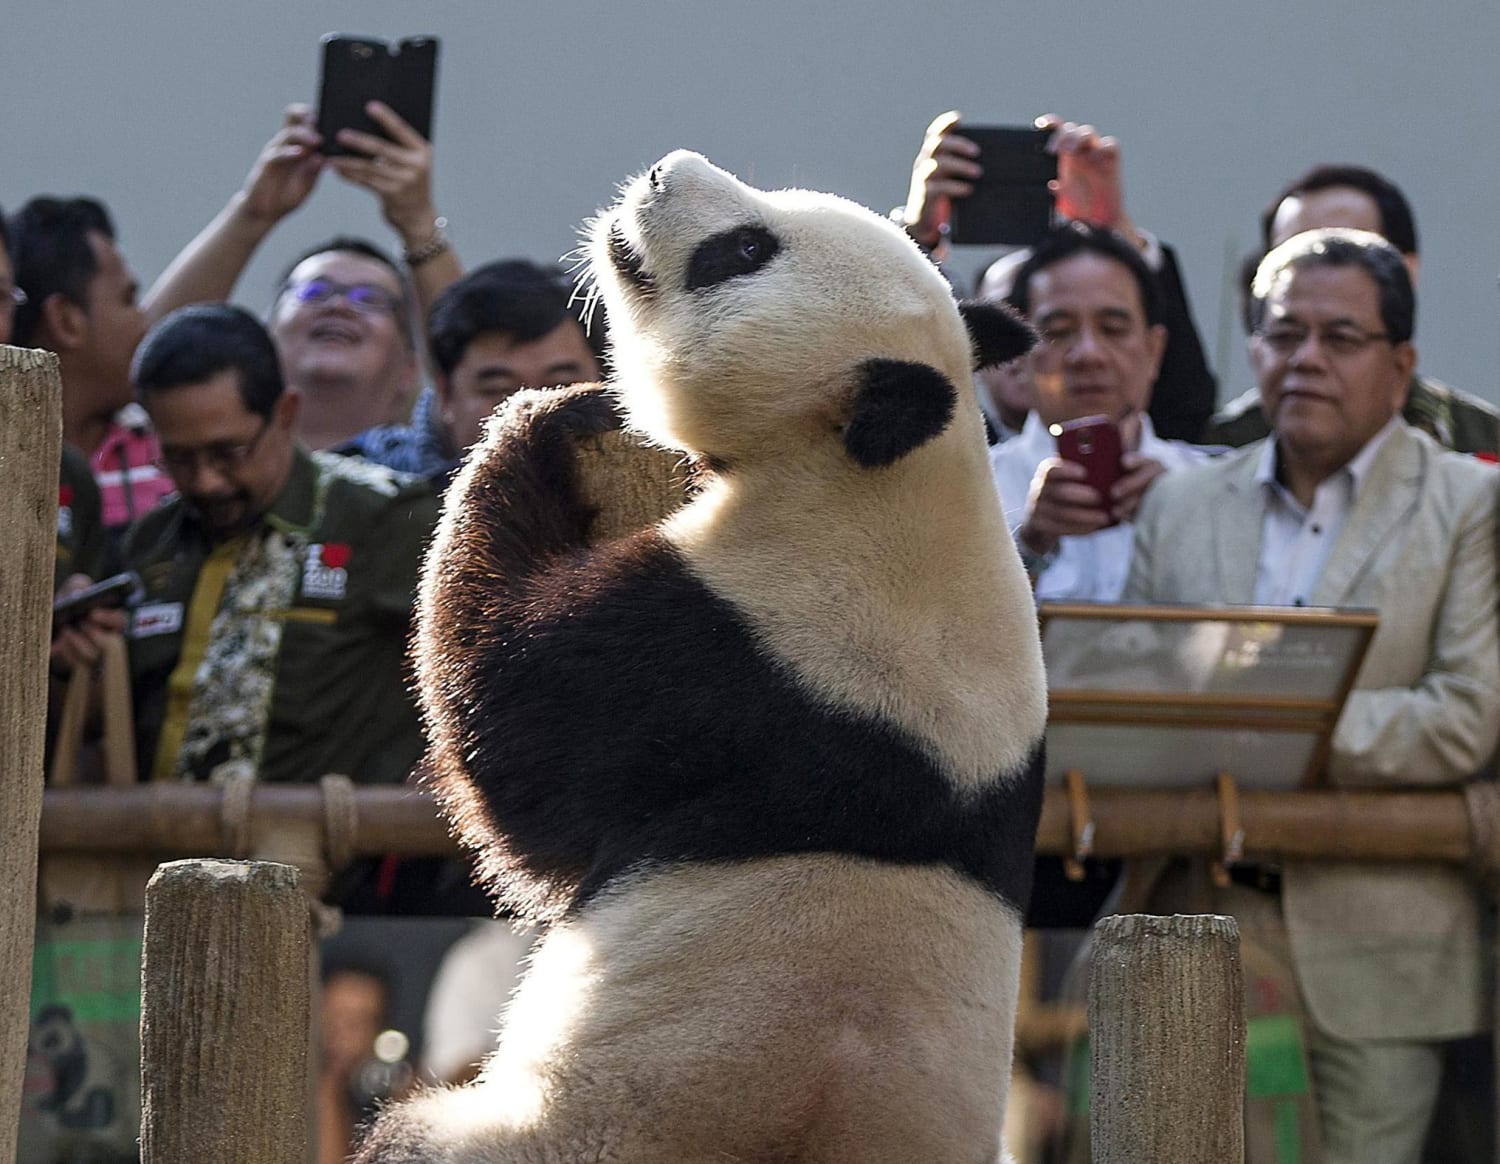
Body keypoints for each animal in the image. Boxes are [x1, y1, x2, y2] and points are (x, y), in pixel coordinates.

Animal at [355, 150, 1047, 1163]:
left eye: (745, 250)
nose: (660, 171)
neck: (888, 480)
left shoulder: (741, 643)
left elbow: (513, 732)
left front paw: (542, 418)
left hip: (565, 1130)